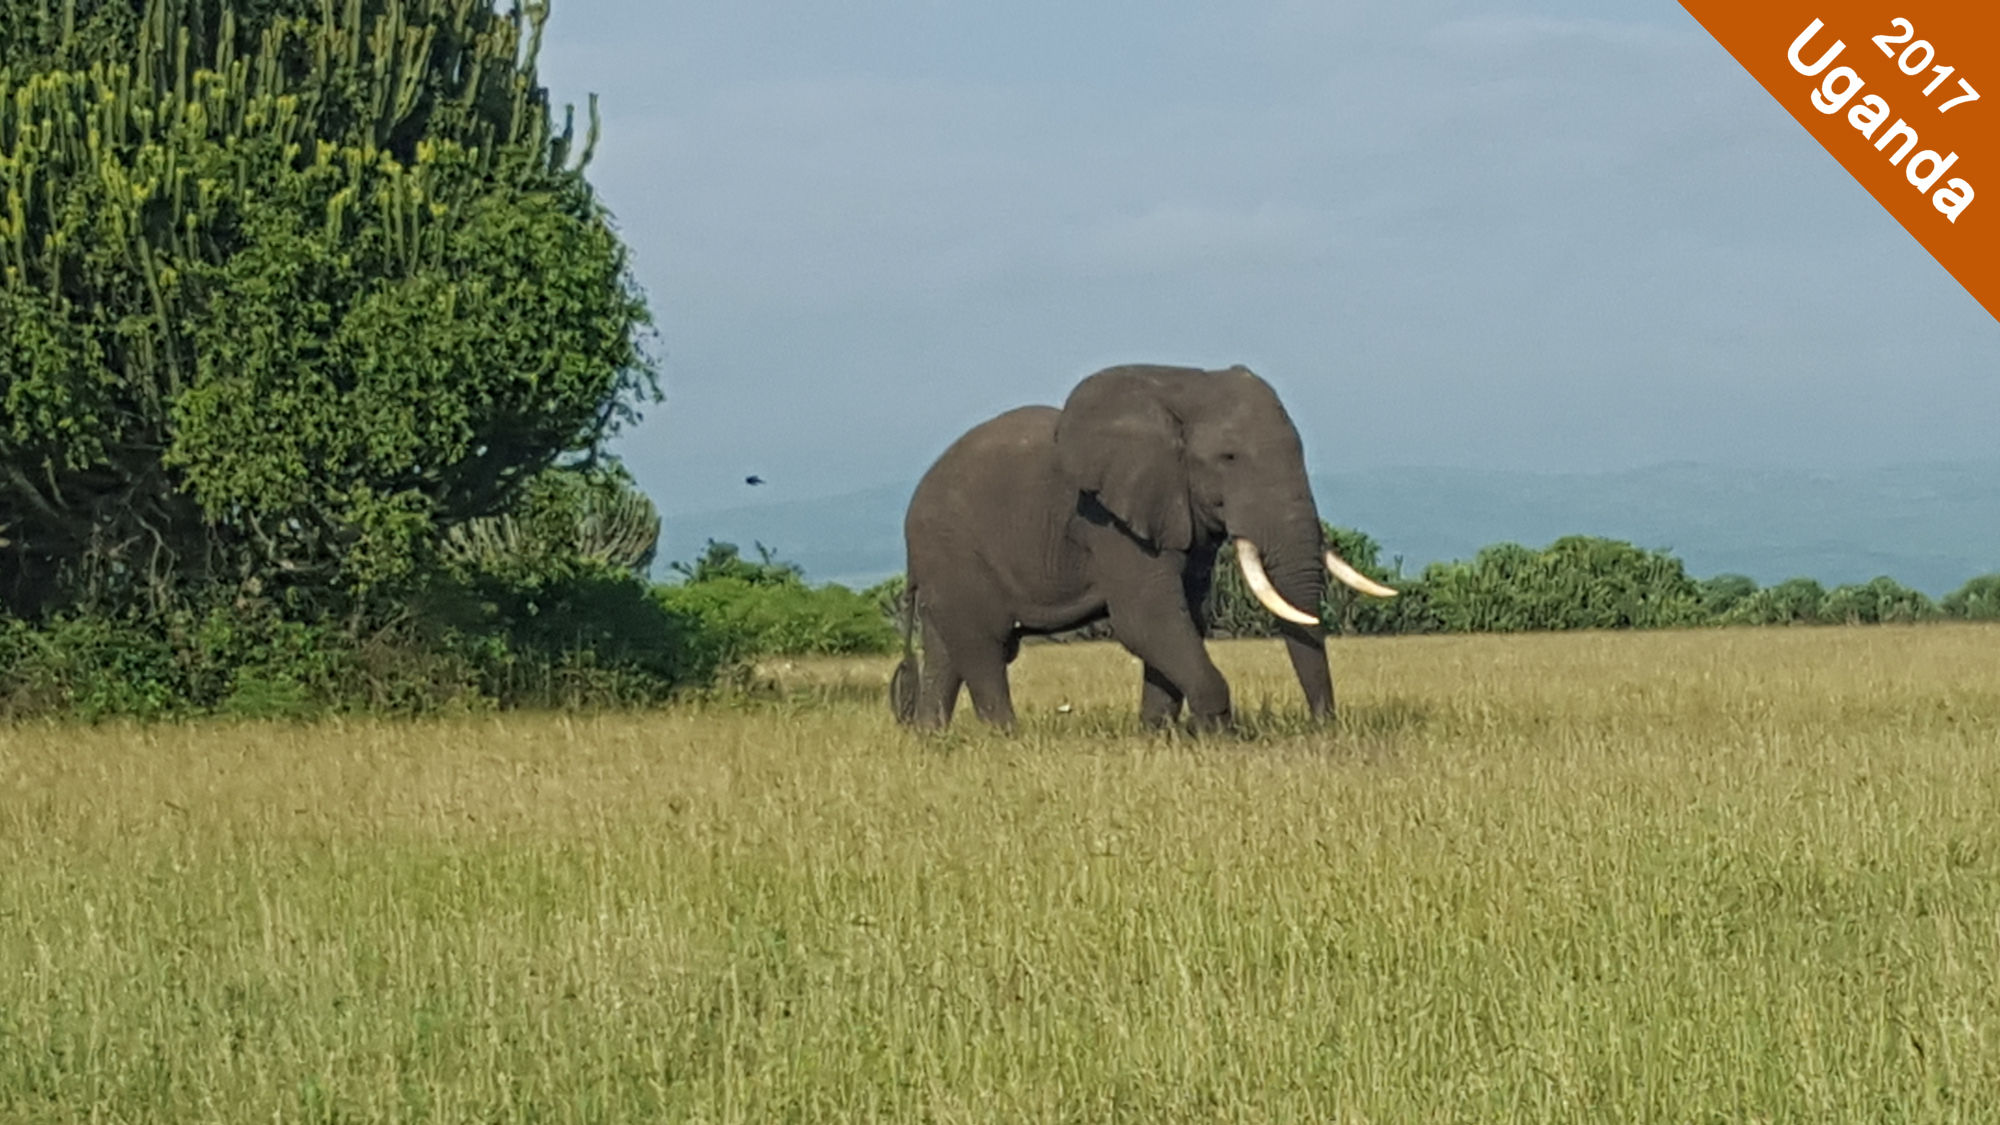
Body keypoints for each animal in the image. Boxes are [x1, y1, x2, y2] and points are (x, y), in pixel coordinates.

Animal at [889, 362, 1395, 732]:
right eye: (1228, 458)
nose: (1324, 726)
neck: (1182, 386)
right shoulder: (1104, 517)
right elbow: (1148, 618)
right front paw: (1218, 735)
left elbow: (1183, 615)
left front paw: (1158, 736)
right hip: (952, 548)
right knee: (984, 644)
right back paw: (1006, 738)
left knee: (945, 647)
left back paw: (932, 739)